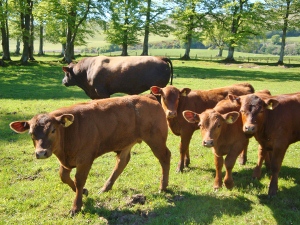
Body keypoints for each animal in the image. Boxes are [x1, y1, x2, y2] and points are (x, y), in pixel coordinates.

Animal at [9, 95, 171, 214]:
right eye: (31, 133)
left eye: (53, 130)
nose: (41, 153)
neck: (68, 132)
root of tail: (148, 97)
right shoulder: (66, 160)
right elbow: (63, 176)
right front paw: (84, 192)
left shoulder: (85, 159)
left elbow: (79, 180)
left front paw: (76, 206)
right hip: (127, 142)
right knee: (122, 162)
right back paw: (105, 188)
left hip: (156, 139)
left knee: (165, 157)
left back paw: (162, 187)